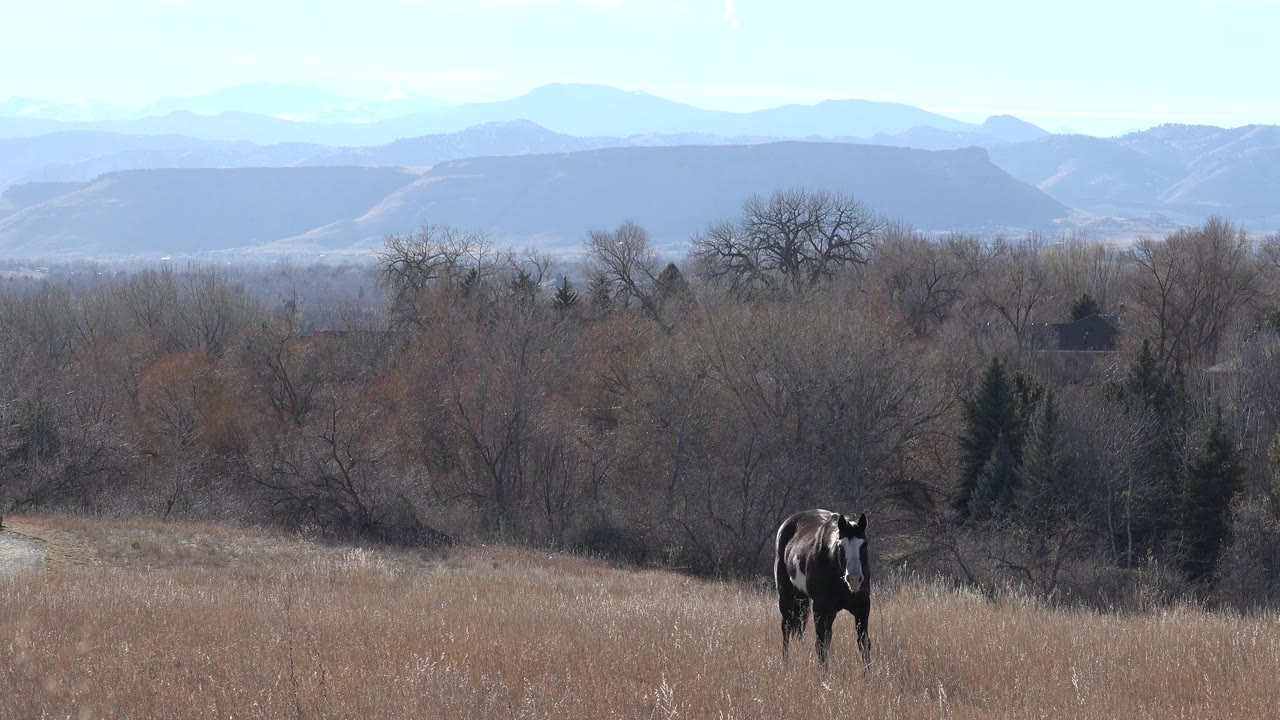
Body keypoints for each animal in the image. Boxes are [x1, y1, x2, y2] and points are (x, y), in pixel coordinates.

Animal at [774, 509, 870, 665]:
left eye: (864, 545)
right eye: (841, 546)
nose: (854, 579)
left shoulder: (862, 608)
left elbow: (864, 644)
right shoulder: (819, 609)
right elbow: (820, 646)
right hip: (786, 599)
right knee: (786, 630)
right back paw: (786, 662)